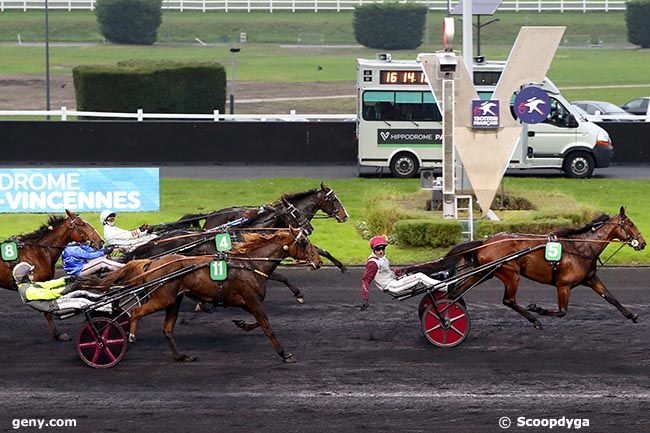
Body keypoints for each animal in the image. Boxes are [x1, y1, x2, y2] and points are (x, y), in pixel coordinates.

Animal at [94, 228, 322, 362]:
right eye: (304, 243)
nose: (319, 261)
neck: (250, 264)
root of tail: (152, 263)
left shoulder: (247, 302)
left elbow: (258, 322)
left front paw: (242, 323)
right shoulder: (252, 300)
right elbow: (266, 325)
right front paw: (284, 354)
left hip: (174, 300)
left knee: (167, 329)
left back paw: (181, 356)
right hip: (163, 298)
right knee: (136, 312)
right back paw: (130, 335)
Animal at [404, 208, 644, 330]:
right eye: (631, 224)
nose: (642, 243)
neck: (580, 247)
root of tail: (486, 241)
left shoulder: (591, 279)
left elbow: (611, 298)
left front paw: (632, 316)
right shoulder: (563, 284)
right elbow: (562, 311)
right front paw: (538, 309)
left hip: (484, 272)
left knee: (455, 292)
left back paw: (446, 312)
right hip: (510, 273)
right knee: (508, 300)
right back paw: (533, 319)